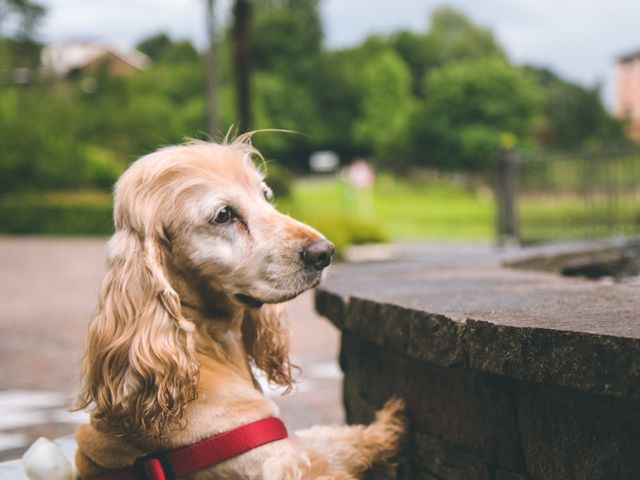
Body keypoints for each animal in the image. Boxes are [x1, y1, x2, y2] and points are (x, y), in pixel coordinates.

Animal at [71, 136, 404, 480]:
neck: (208, 344)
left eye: (266, 195)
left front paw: (387, 424)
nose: (324, 252)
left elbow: (335, 438)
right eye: (223, 214)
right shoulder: (280, 462)